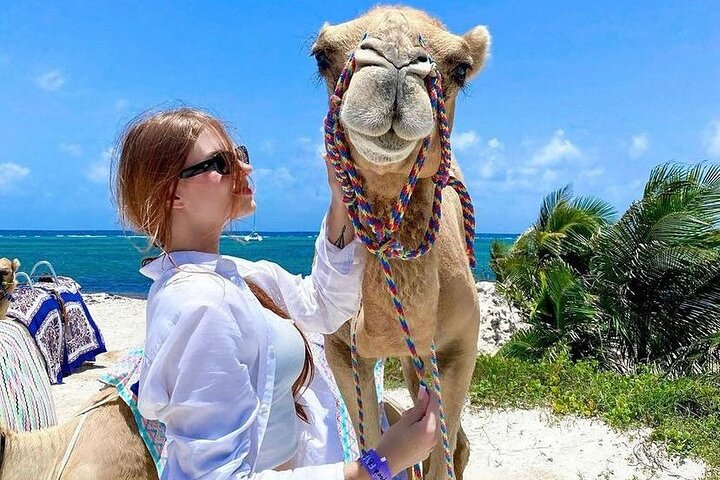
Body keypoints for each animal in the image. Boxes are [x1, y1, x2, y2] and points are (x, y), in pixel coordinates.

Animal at [313, 7, 489, 479]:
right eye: (321, 56)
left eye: (461, 68)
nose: (394, 65)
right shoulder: (342, 349)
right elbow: (370, 439)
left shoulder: (460, 346)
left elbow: (443, 453)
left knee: (458, 442)